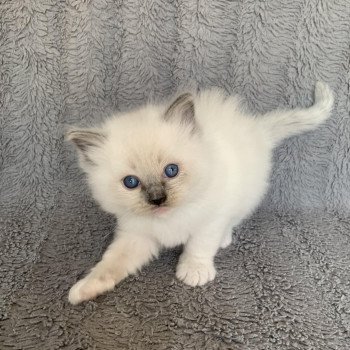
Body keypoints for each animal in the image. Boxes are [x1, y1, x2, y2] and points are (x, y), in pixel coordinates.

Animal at [67, 81, 334, 304]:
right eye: (131, 182)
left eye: (171, 170)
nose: (157, 199)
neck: (169, 218)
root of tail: (256, 128)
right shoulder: (137, 236)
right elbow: (111, 265)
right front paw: (84, 289)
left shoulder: (210, 219)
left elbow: (199, 246)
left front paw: (194, 272)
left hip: (246, 194)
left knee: (233, 220)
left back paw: (224, 239)